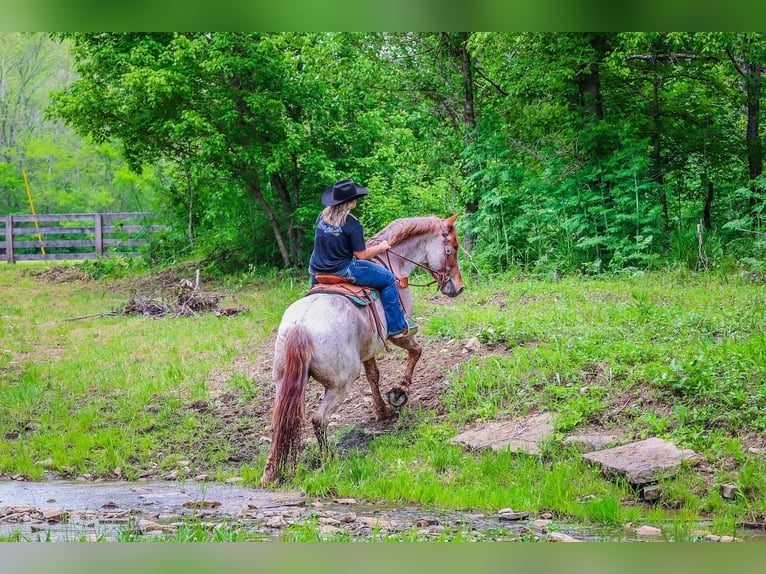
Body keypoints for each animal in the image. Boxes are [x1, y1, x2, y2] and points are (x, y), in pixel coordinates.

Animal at [262, 215, 468, 486]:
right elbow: (416, 351)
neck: (395, 265)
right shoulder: (398, 333)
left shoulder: (369, 346)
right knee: (319, 419)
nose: (459, 287)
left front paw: (381, 410)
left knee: (280, 422)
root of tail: (301, 327)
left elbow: (374, 376)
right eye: (452, 248)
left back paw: (270, 473)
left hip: (284, 381)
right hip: (341, 384)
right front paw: (399, 392)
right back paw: (329, 460)